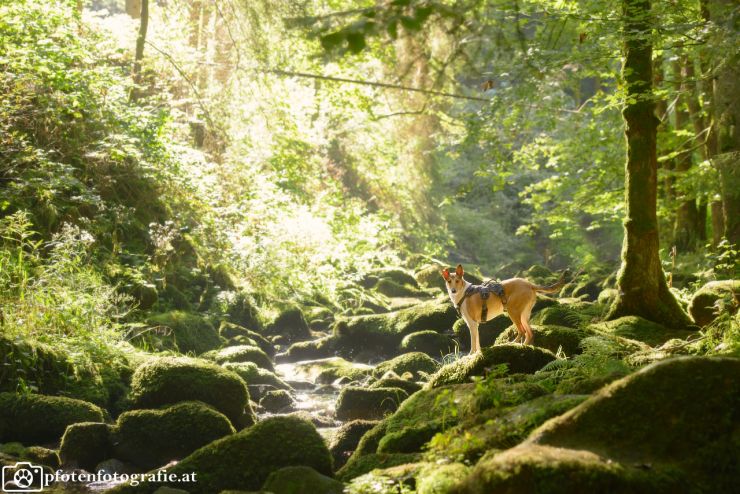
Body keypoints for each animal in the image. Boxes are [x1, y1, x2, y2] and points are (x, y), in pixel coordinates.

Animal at [440, 264, 568, 354]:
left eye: (457, 281)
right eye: (449, 281)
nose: (453, 291)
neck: (464, 293)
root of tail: (529, 284)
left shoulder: (472, 324)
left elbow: (473, 343)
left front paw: (471, 354)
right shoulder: (475, 325)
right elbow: (478, 342)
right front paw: (477, 353)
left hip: (513, 312)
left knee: (522, 331)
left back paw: (513, 345)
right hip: (524, 315)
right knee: (530, 333)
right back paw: (525, 346)